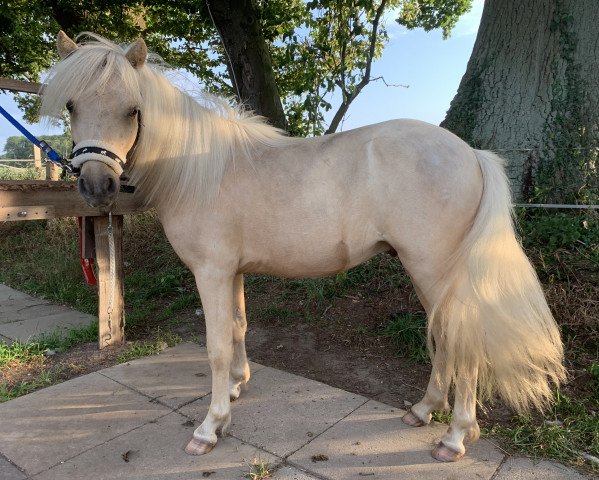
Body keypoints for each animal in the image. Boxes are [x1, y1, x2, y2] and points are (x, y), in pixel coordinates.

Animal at [43, 31, 568, 464]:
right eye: (71, 105)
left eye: (132, 110)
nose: (96, 187)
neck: (199, 170)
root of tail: (471, 154)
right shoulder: (232, 272)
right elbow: (238, 328)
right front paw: (237, 387)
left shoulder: (211, 272)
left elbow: (215, 345)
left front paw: (210, 427)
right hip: (427, 273)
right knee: (443, 336)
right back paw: (423, 411)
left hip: (433, 269)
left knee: (462, 342)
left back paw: (455, 437)